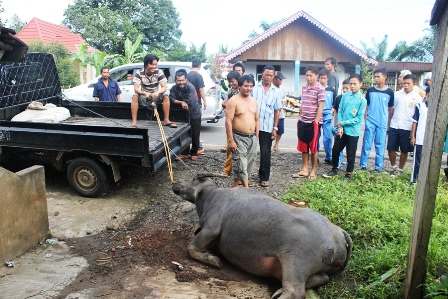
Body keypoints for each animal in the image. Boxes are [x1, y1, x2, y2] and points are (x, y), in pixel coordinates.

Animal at [173, 175, 352, 298]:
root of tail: (339, 233)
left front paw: (213, 260)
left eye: (193, 180)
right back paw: (278, 290)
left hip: (295, 260)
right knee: (322, 277)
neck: (210, 197)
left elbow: (191, 247)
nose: (175, 183)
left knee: (295, 290)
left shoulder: (211, 228)